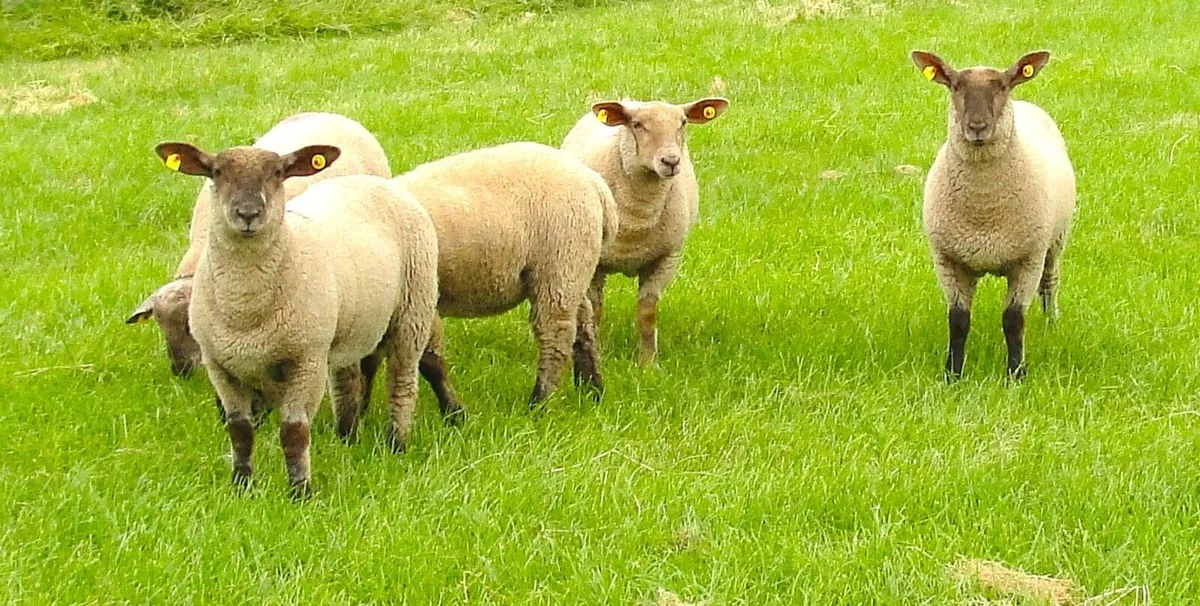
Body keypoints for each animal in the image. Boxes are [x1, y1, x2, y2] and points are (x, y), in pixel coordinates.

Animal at [153, 141, 438, 498]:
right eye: (216, 172)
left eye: (278, 172)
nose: (248, 215)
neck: (245, 311)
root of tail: (378, 183)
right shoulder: (219, 365)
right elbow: (239, 430)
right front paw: (242, 486)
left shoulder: (305, 360)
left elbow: (294, 431)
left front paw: (300, 492)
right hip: (348, 325)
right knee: (347, 382)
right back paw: (347, 437)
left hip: (412, 311)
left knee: (401, 382)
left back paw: (396, 444)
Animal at [393, 142, 618, 406]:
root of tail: (595, 183)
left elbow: (430, 362)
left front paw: (454, 410)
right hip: (572, 268)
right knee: (583, 323)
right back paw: (592, 390)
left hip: (561, 260)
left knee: (555, 332)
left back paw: (539, 403)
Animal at [561, 97, 729, 365]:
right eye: (637, 124)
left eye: (683, 122)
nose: (671, 161)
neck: (637, 221)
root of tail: (629, 100)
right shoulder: (596, 264)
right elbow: (596, 309)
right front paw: (598, 353)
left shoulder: (667, 258)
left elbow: (647, 311)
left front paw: (648, 362)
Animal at [911, 50, 1076, 379]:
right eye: (955, 86)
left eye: (1001, 86)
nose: (977, 126)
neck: (983, 212)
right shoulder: (948, 260)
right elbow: (958, 321)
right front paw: (953, 374)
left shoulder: (1028, 259)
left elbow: (1013, 320)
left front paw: (1016, 374)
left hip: (1055, 240)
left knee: (1050, 282)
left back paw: (1051, 324)